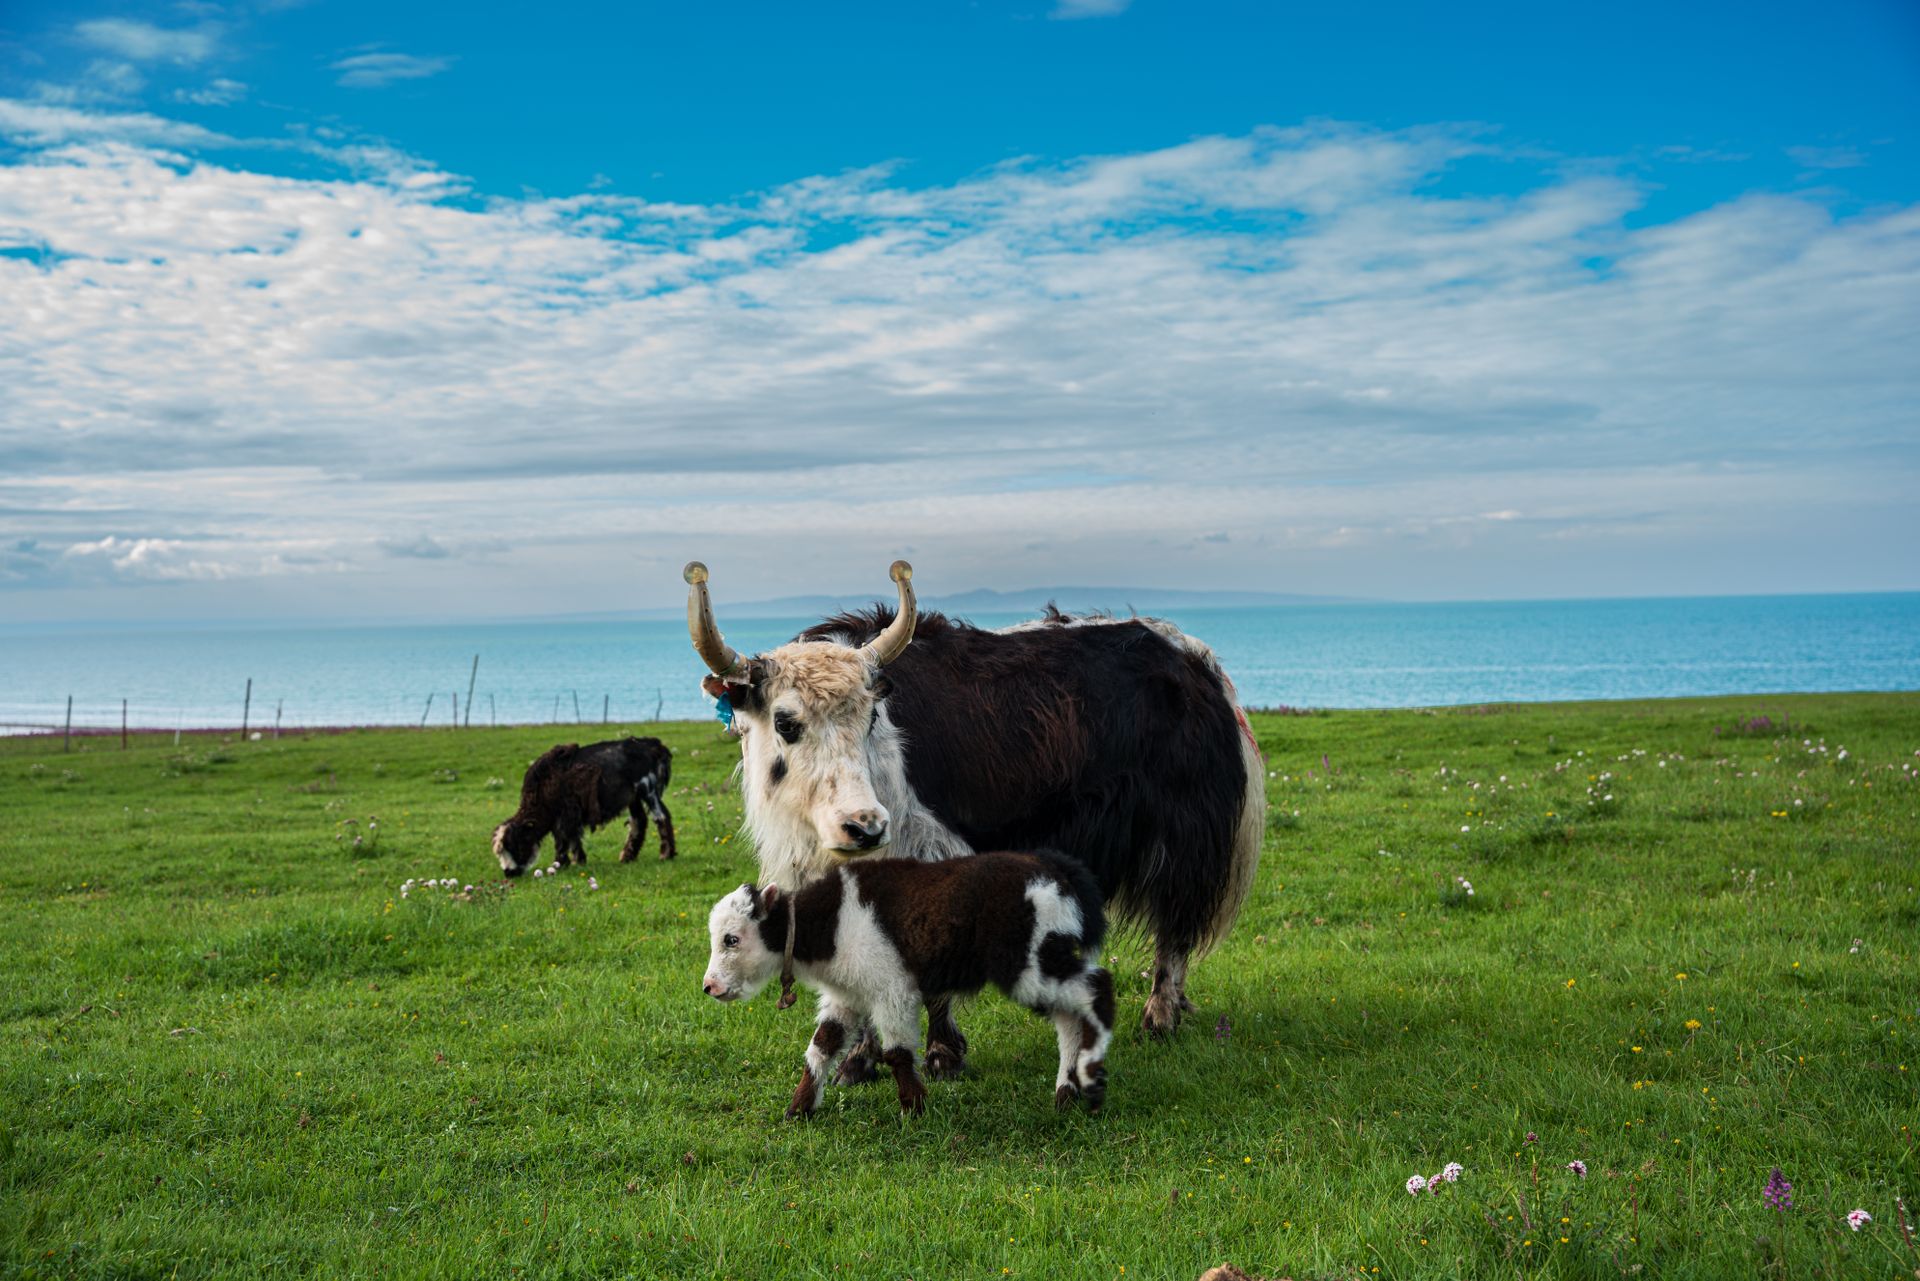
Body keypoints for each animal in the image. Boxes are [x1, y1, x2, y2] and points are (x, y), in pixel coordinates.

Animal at [491, 735, 675, 876]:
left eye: (515, 845)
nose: (509, 873)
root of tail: (652, 745)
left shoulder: (566, 814)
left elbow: (565, 838)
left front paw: (563, 863)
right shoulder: (565, 816)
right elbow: (569, 838)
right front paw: (573, 861)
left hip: (648, 790)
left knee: (661, 816)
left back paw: (666, 855)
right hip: (633, 797)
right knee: (639, 821)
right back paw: (628, 856)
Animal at [683, 559, 1264, 1079]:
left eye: (871, 718)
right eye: (786, 722)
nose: (865, 827)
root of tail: (1196, 662)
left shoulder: (930, 855)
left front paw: (941, 1055)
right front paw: (859, 1060)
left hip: (1185, 834)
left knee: (1176, 925)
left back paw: (1160, 1017)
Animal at [701, 850, 1115, 1119]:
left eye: (731, 940)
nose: (710, 988)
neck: (829, 924)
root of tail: (1059, 872)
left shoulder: (892, 989)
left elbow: (897, 1053)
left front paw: (915, 1109)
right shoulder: (846, 997)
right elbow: (821, 1047)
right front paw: (799, 1108)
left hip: (1028, 959)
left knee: (1096, 987)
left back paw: (1087, 1078)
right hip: (1041, 957)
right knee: (1069, 1016)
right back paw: (1066, 1094)